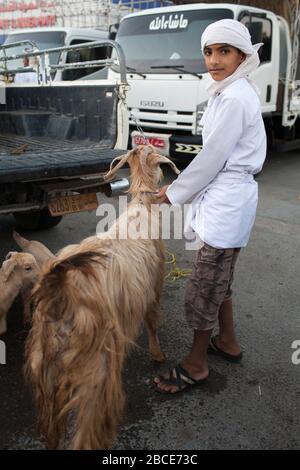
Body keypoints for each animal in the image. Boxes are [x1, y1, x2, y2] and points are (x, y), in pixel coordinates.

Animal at [24, 145, 179, 450]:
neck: (141, 208)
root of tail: (60, 287)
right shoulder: (155, 286)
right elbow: (153, 322)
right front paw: (157, 354)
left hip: (44, 366)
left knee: (52, 429)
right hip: (98, 372)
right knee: (86, 433)